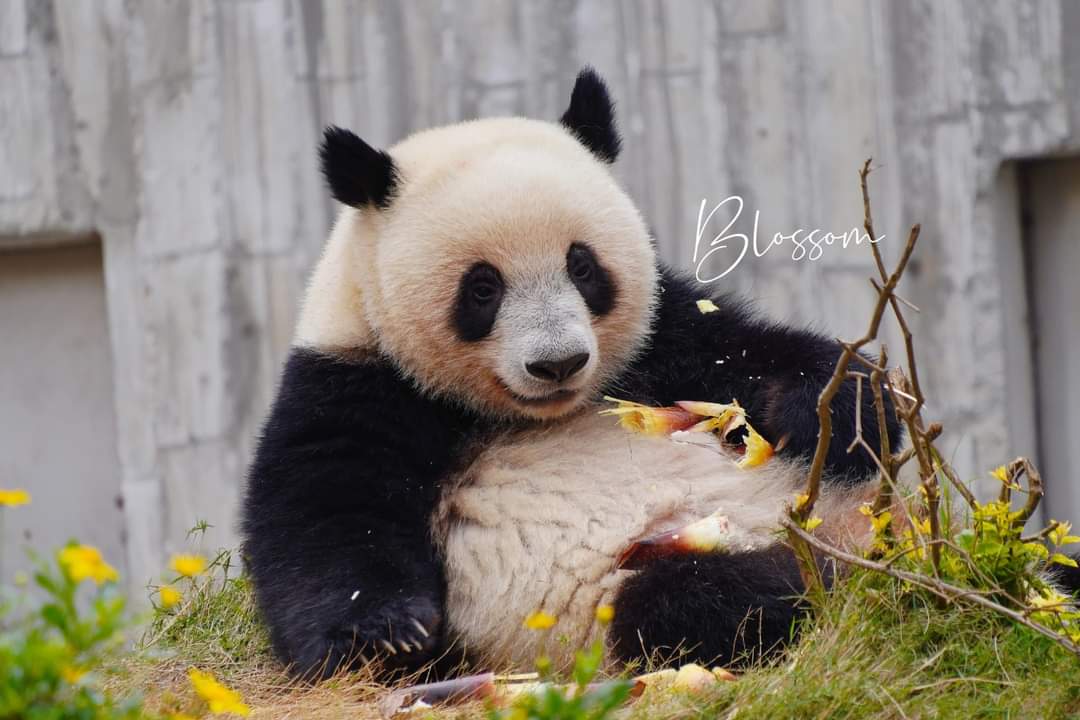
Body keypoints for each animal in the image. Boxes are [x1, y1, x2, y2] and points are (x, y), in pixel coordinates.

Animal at [241, 68, 901, 680]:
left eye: (582, 266)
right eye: (482, 288)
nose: (558, 363)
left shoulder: (661, 343)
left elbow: (748, 354)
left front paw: (837, 414)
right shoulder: (351, 382)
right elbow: (325, 519)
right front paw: (384, 633)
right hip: (629, 589)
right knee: (710, 598)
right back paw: (847, 586)